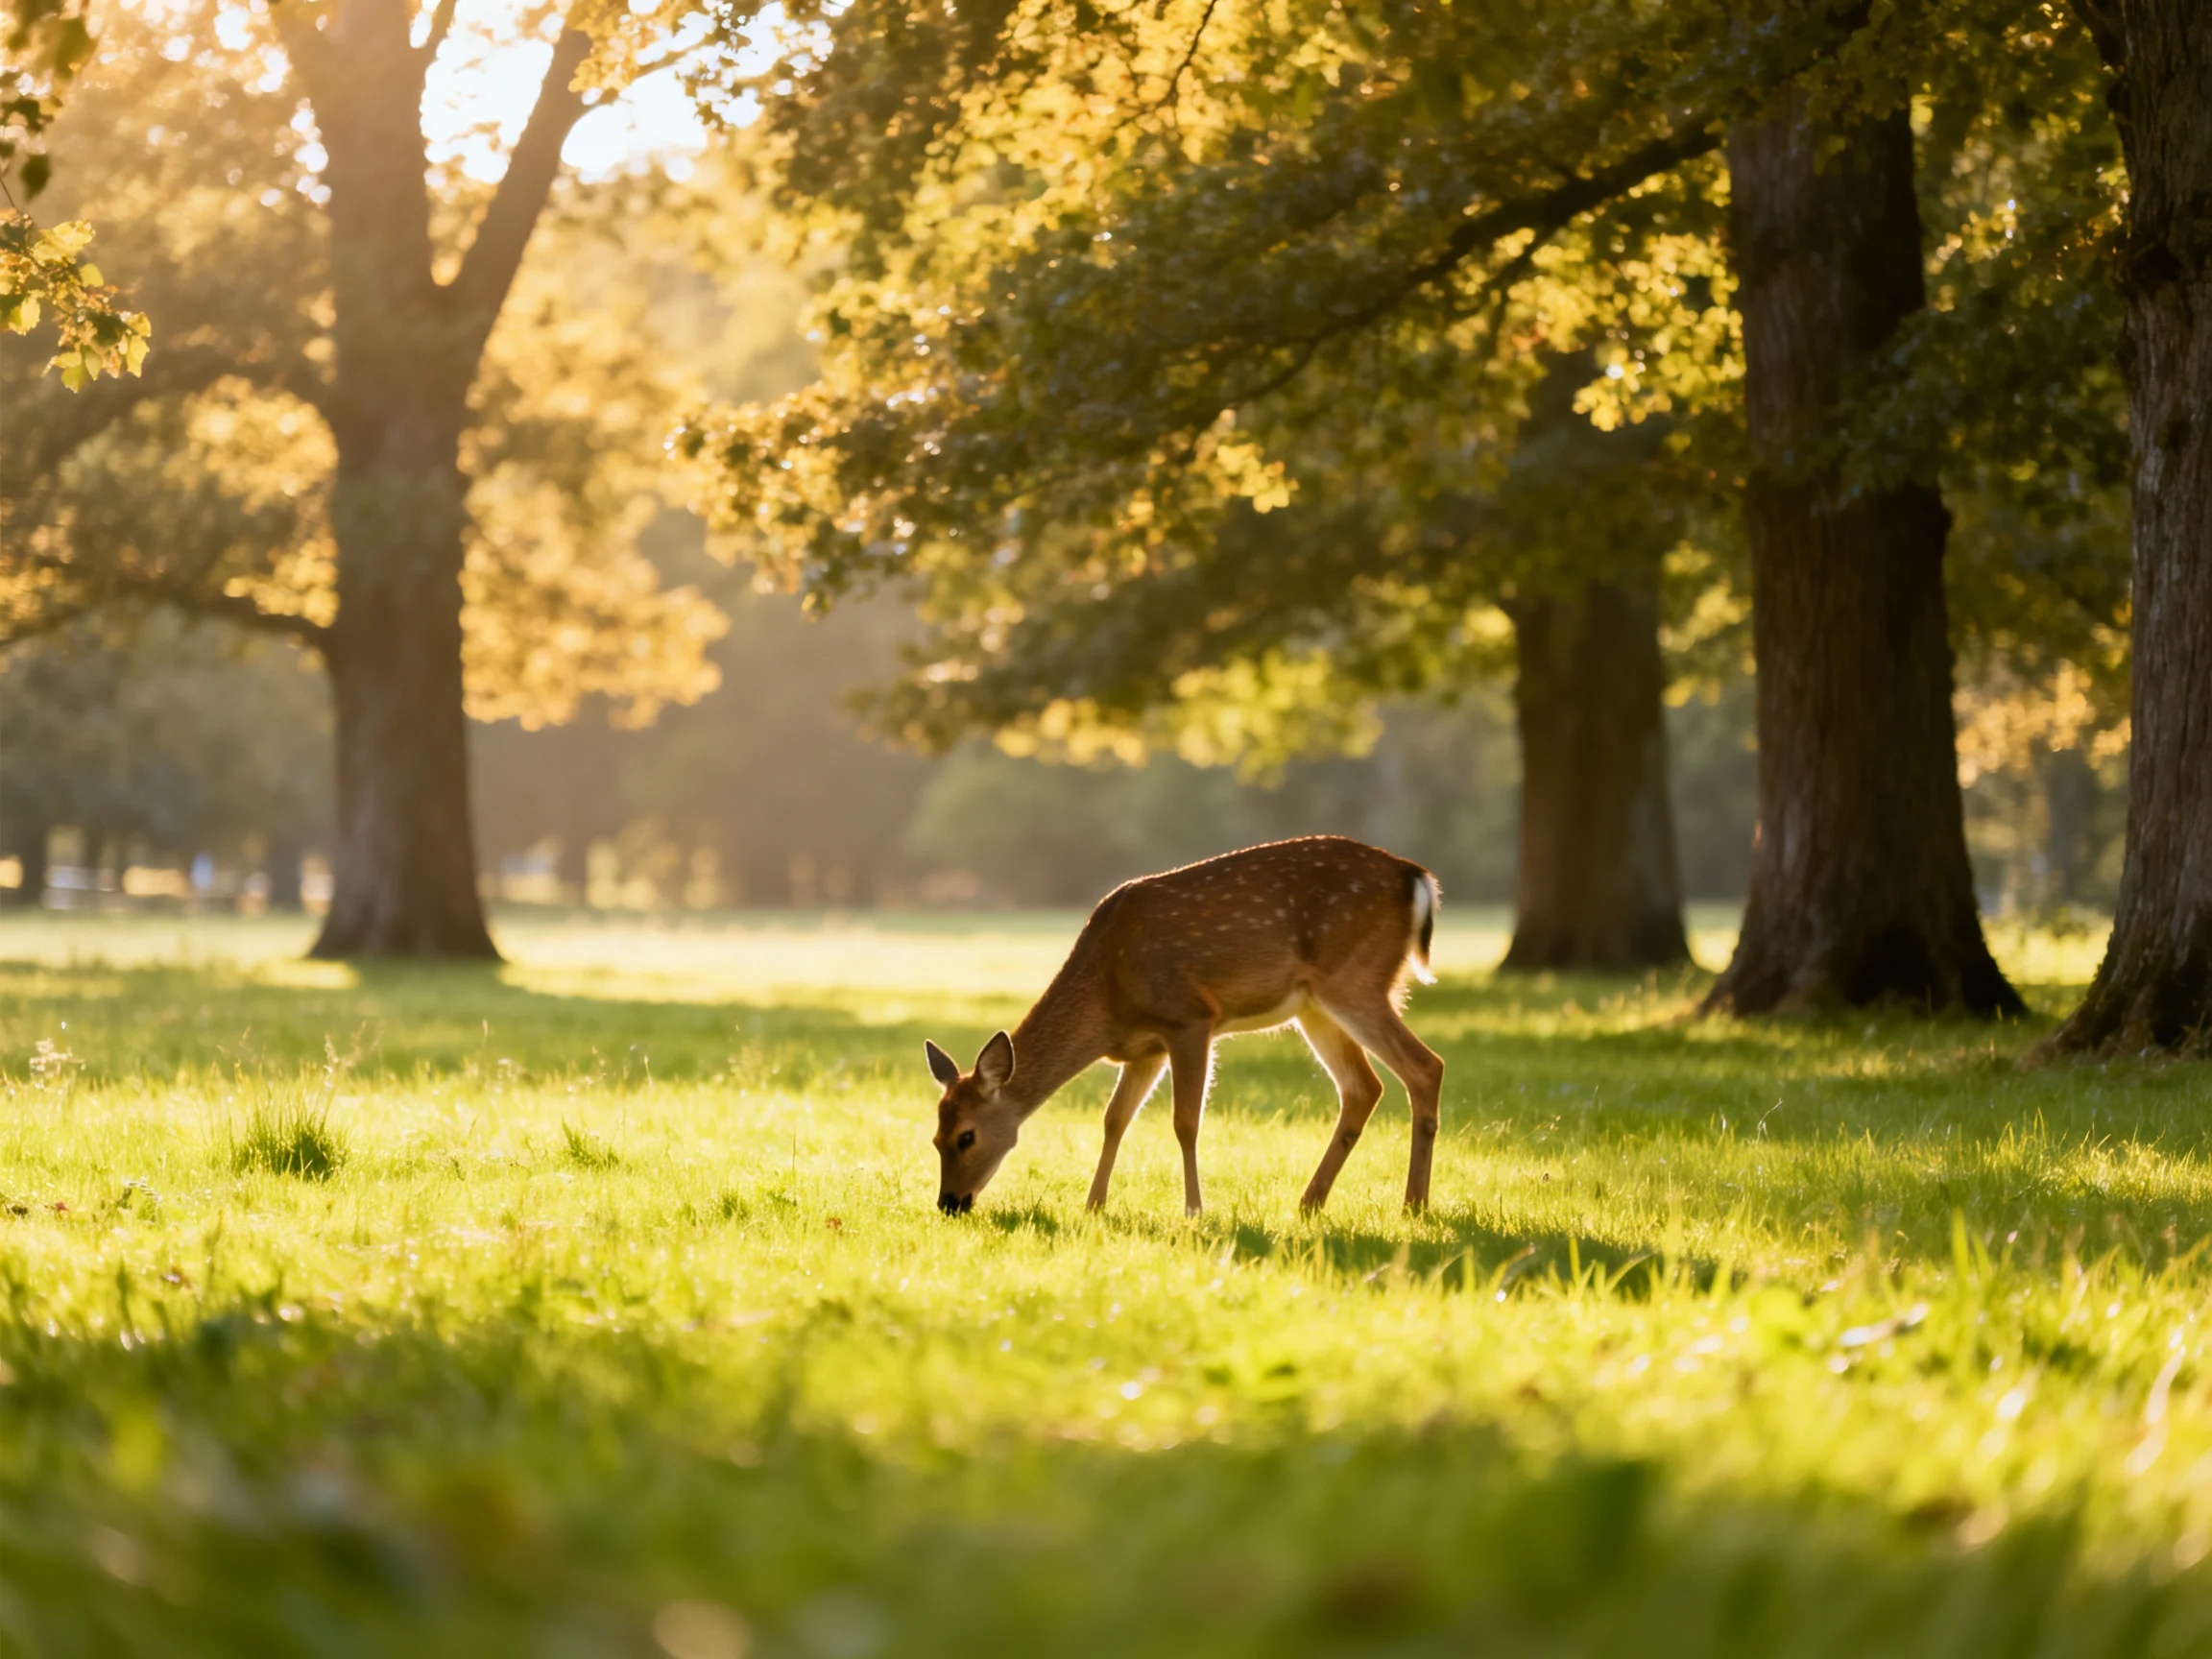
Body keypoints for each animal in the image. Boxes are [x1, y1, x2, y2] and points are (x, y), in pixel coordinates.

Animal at [924, 836, 1445, 1218]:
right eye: (934, 1137)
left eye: (965, 1136)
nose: (949, 1203)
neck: (1108, 998)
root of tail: (1417, 879)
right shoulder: (1145, 1048)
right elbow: (1114, 1119)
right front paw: (1093, 1205)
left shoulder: (1189, 1017)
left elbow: (1185, 1121)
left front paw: (1194, 1210)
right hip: (1315, 1007)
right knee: (1363, 1087)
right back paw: (1309, 1202)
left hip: (1354, 979)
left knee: (1425, 1066)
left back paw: (1413, 1204)